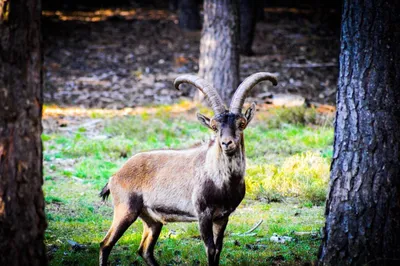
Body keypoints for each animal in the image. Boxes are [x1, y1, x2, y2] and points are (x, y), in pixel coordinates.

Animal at [98, 71, 276, 264]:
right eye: (214, 126)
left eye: (241, 123)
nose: (226, 143)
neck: (222, 182)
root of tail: (115, 176)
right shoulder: (203, 214)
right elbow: (210, 249)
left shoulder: (222, 217)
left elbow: (218, 249)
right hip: (125, 210)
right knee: (105, 244)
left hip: (152, 220)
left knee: (145, 250)